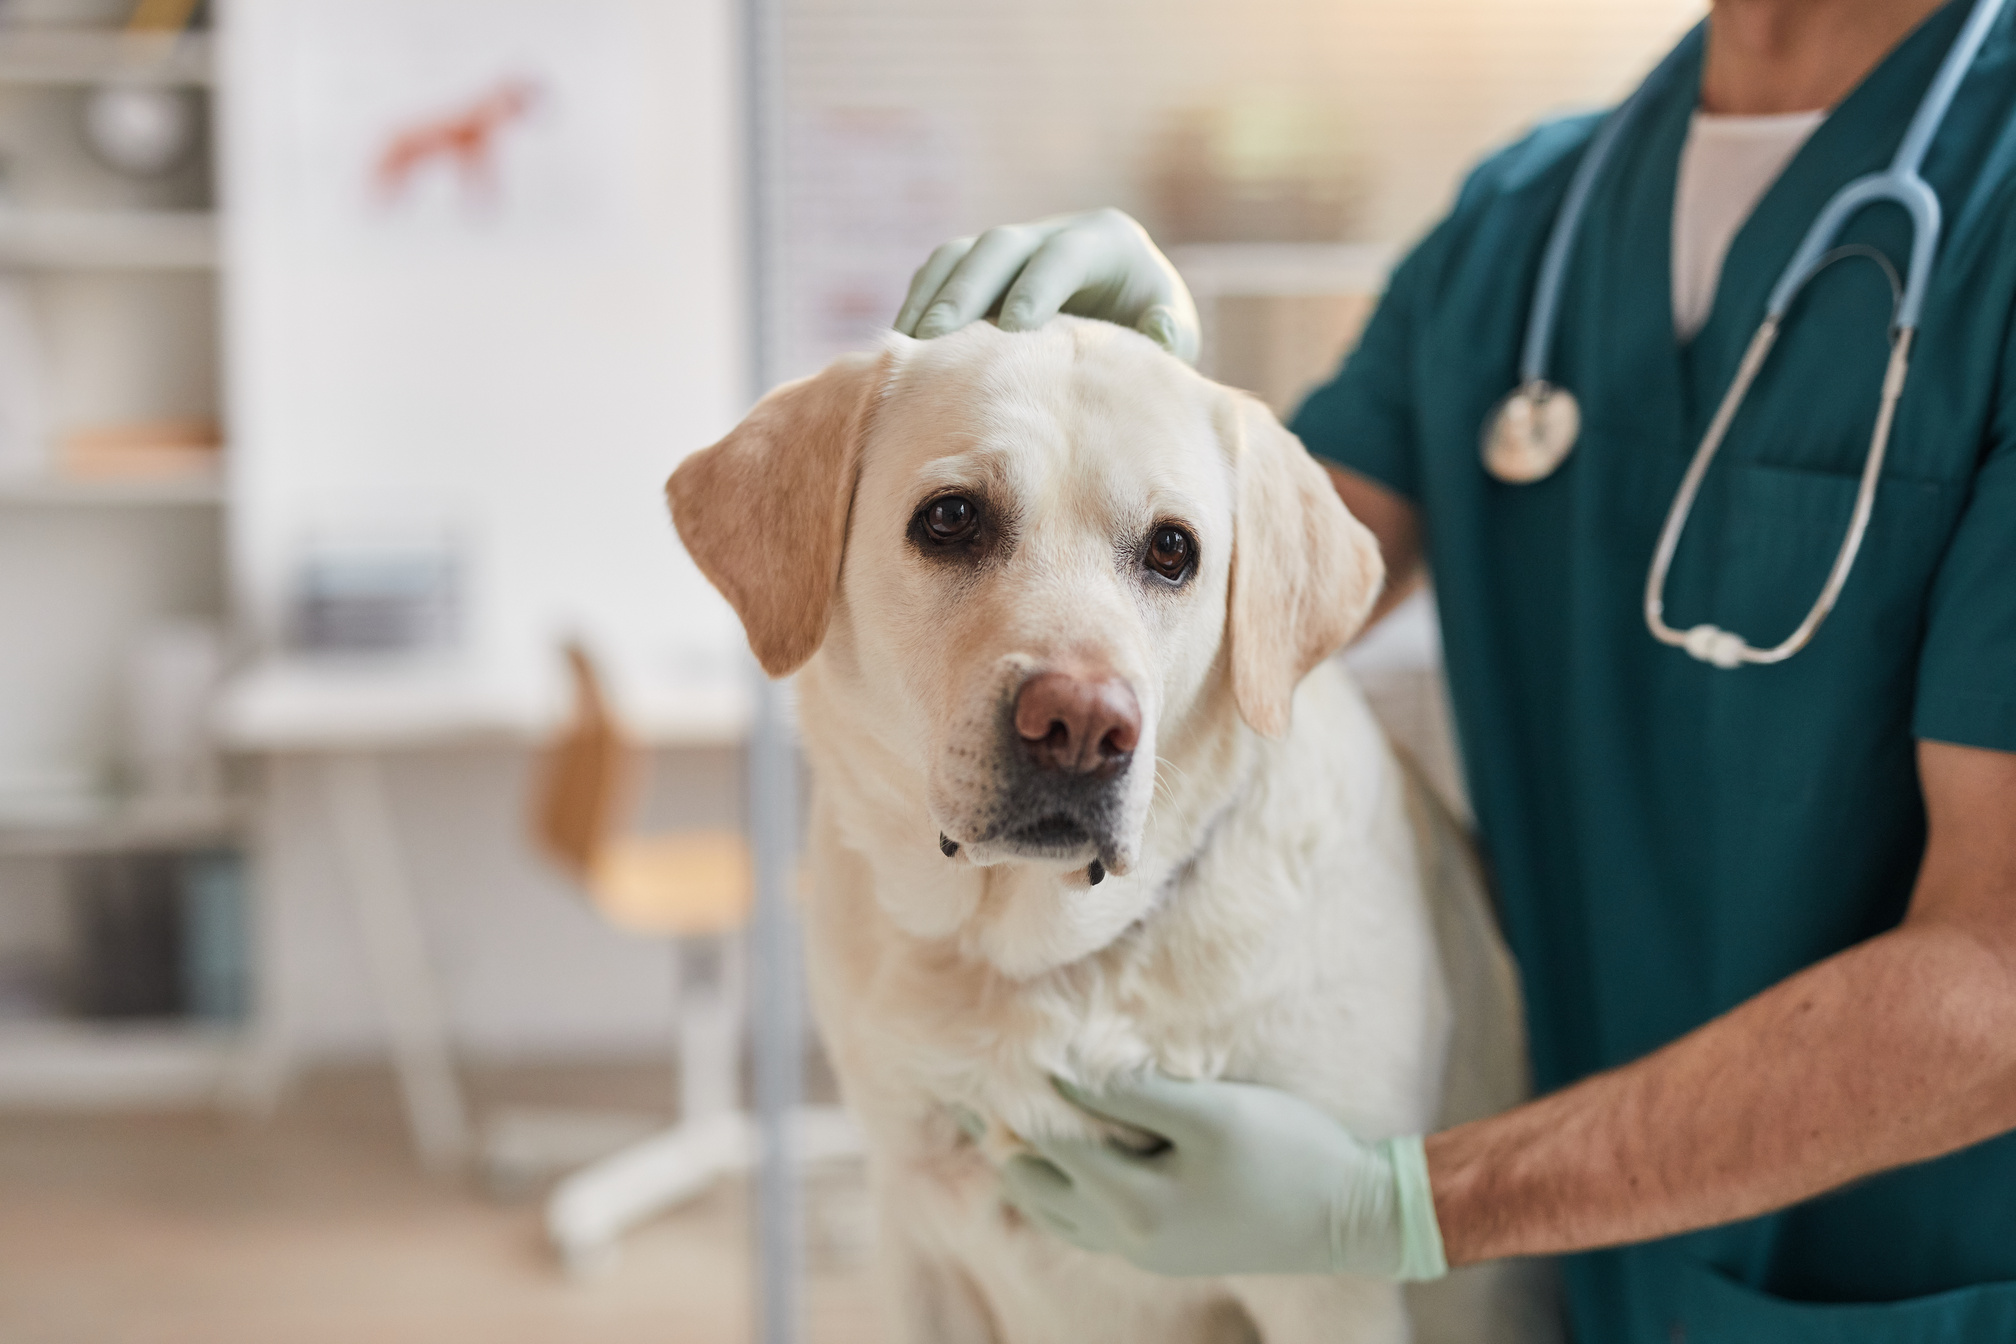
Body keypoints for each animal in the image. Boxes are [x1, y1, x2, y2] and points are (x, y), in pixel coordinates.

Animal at [669, 320, 1532, 1337]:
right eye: (950, 518)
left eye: (1172, 550)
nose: (1081, 727)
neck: (1040, 964)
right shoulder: (918, 1242)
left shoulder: (1332, 1292)